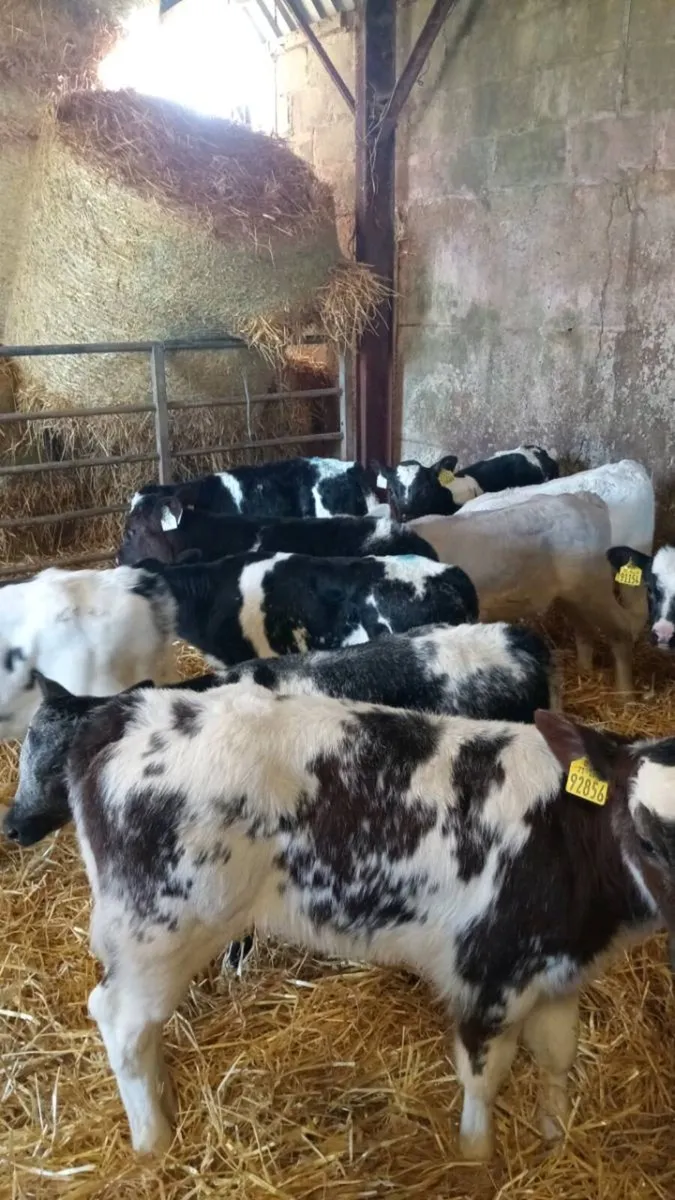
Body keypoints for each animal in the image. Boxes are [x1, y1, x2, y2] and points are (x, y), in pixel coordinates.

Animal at [8, 675, 675, 1160]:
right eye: (645, 838)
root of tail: (128, 713)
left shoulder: (558, 971)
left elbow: (559, 1056)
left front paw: (555, 1137)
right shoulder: (488, 972)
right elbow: (484, 1079)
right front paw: (476, 1158)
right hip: (159, 927)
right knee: (121, 1020)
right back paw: (154, 1144)